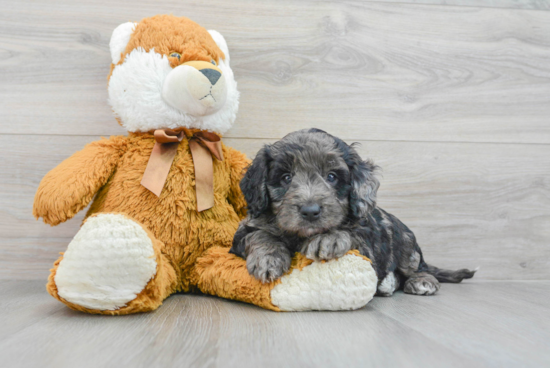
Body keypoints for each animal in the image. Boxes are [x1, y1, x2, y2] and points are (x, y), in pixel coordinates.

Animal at [231, 129, 476, 296]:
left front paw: (328, 238)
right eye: (286, 177)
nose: (310, 211)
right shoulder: (244, 232)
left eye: (331, 176)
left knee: (417, 266)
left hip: (406, 243)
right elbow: (260, 234)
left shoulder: (369, 245)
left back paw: (422, 281)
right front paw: (267, 259)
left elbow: (352, 232)